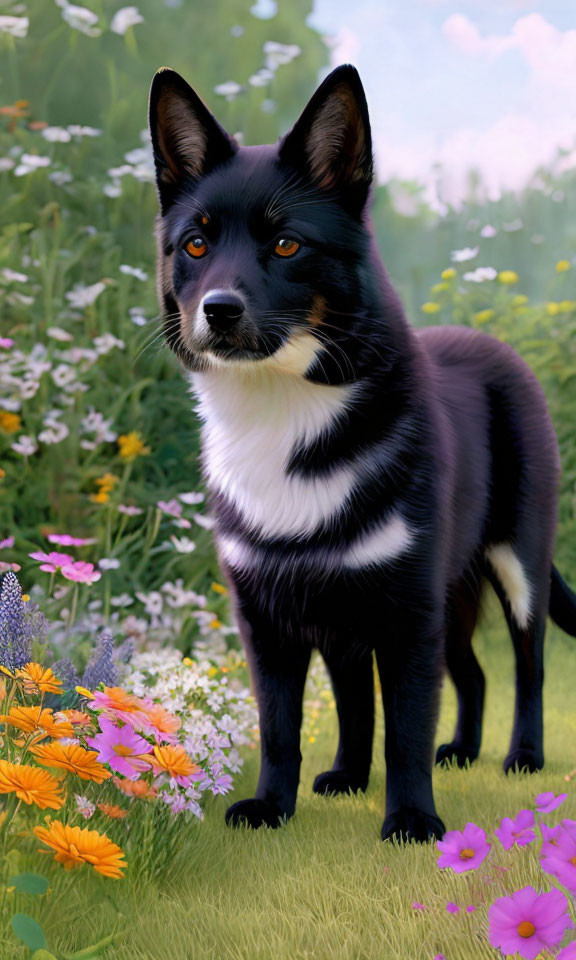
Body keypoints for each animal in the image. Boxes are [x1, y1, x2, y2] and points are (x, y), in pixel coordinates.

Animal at [148, 62, 576, 840]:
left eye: (288, 244)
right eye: (194, 244)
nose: (218, 311)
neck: (284, 412)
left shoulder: (406, 609)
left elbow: (404, 721)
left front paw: (410, 820)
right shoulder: (269, 614)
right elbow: (285, 724)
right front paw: (273, 807)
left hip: (516, 559)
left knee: (527, 665)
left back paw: (520, 758)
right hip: (441, 587)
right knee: (462, 674)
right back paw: (422, 760)